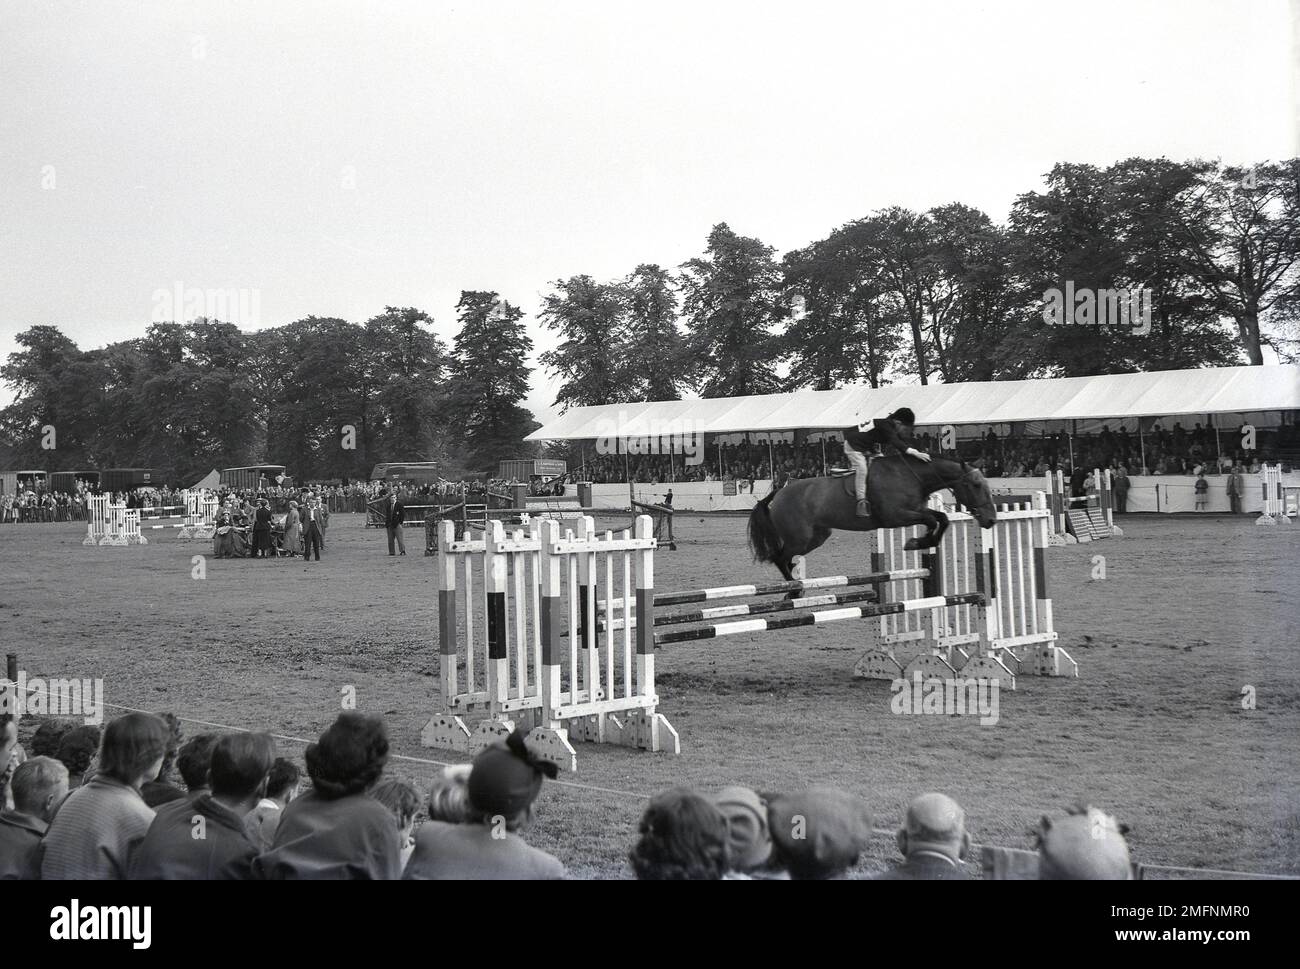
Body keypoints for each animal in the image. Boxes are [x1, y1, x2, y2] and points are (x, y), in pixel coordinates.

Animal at [748, 450, 998, 577]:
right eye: (976, 485)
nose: (991, 519)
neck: (912, 476)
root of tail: (779, 492)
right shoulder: (896, 516)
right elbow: (931, 520)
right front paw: (916, 542)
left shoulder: (916, 510)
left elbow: (941, 519)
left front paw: (923, 541)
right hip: (799, 538)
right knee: (779, 558)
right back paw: (794, 590)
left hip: (816, 537)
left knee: (787, 559)